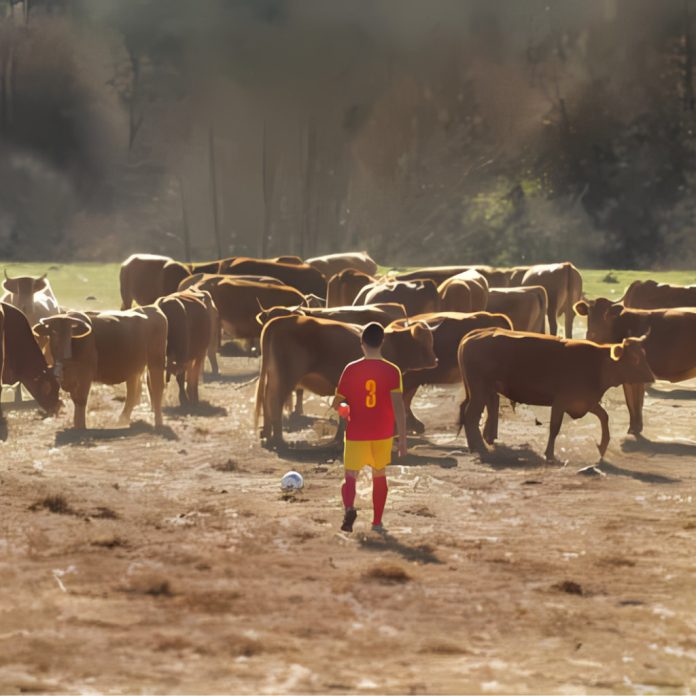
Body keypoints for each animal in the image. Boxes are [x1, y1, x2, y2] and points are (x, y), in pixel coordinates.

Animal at [33, 306, 167, 430]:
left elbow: (81, 399)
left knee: (157, 389)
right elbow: (75, 399)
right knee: (132, 391)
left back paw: (159, 423)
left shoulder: (85, 374)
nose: (65, 354)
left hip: (156, 362)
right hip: (133, 368)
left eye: (71, 332)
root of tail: (150, 308)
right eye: (52, 332)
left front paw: (80, 427)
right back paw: (122, 420)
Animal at [256, 316, 436, 446]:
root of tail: (279, 320)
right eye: (424, 341)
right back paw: (278, 439)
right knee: (275, 402)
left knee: (266, 400)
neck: (393, 344)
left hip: (274, 377)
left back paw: (267, 434)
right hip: (286, 377)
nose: (435, 360)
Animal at [456, 330, 652, 464]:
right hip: (479, 391)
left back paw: (476, 444)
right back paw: (479, 446)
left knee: (476, 411)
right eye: (634, 358)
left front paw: (602, 447)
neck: (597, 363)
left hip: (483, 391)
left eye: (644, 355)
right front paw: (549, 454)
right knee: (471, 415)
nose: (651, 377)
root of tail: (474, 335)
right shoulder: (561, 402)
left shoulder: (585, 401)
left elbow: (604, 416)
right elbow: (555, 428)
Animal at [576, 300, 696, 436]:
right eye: (588, 312)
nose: (591, 334)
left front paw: (635, 428)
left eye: (607, 314)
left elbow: (636, 402)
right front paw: (633, 428)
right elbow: (631, 402)